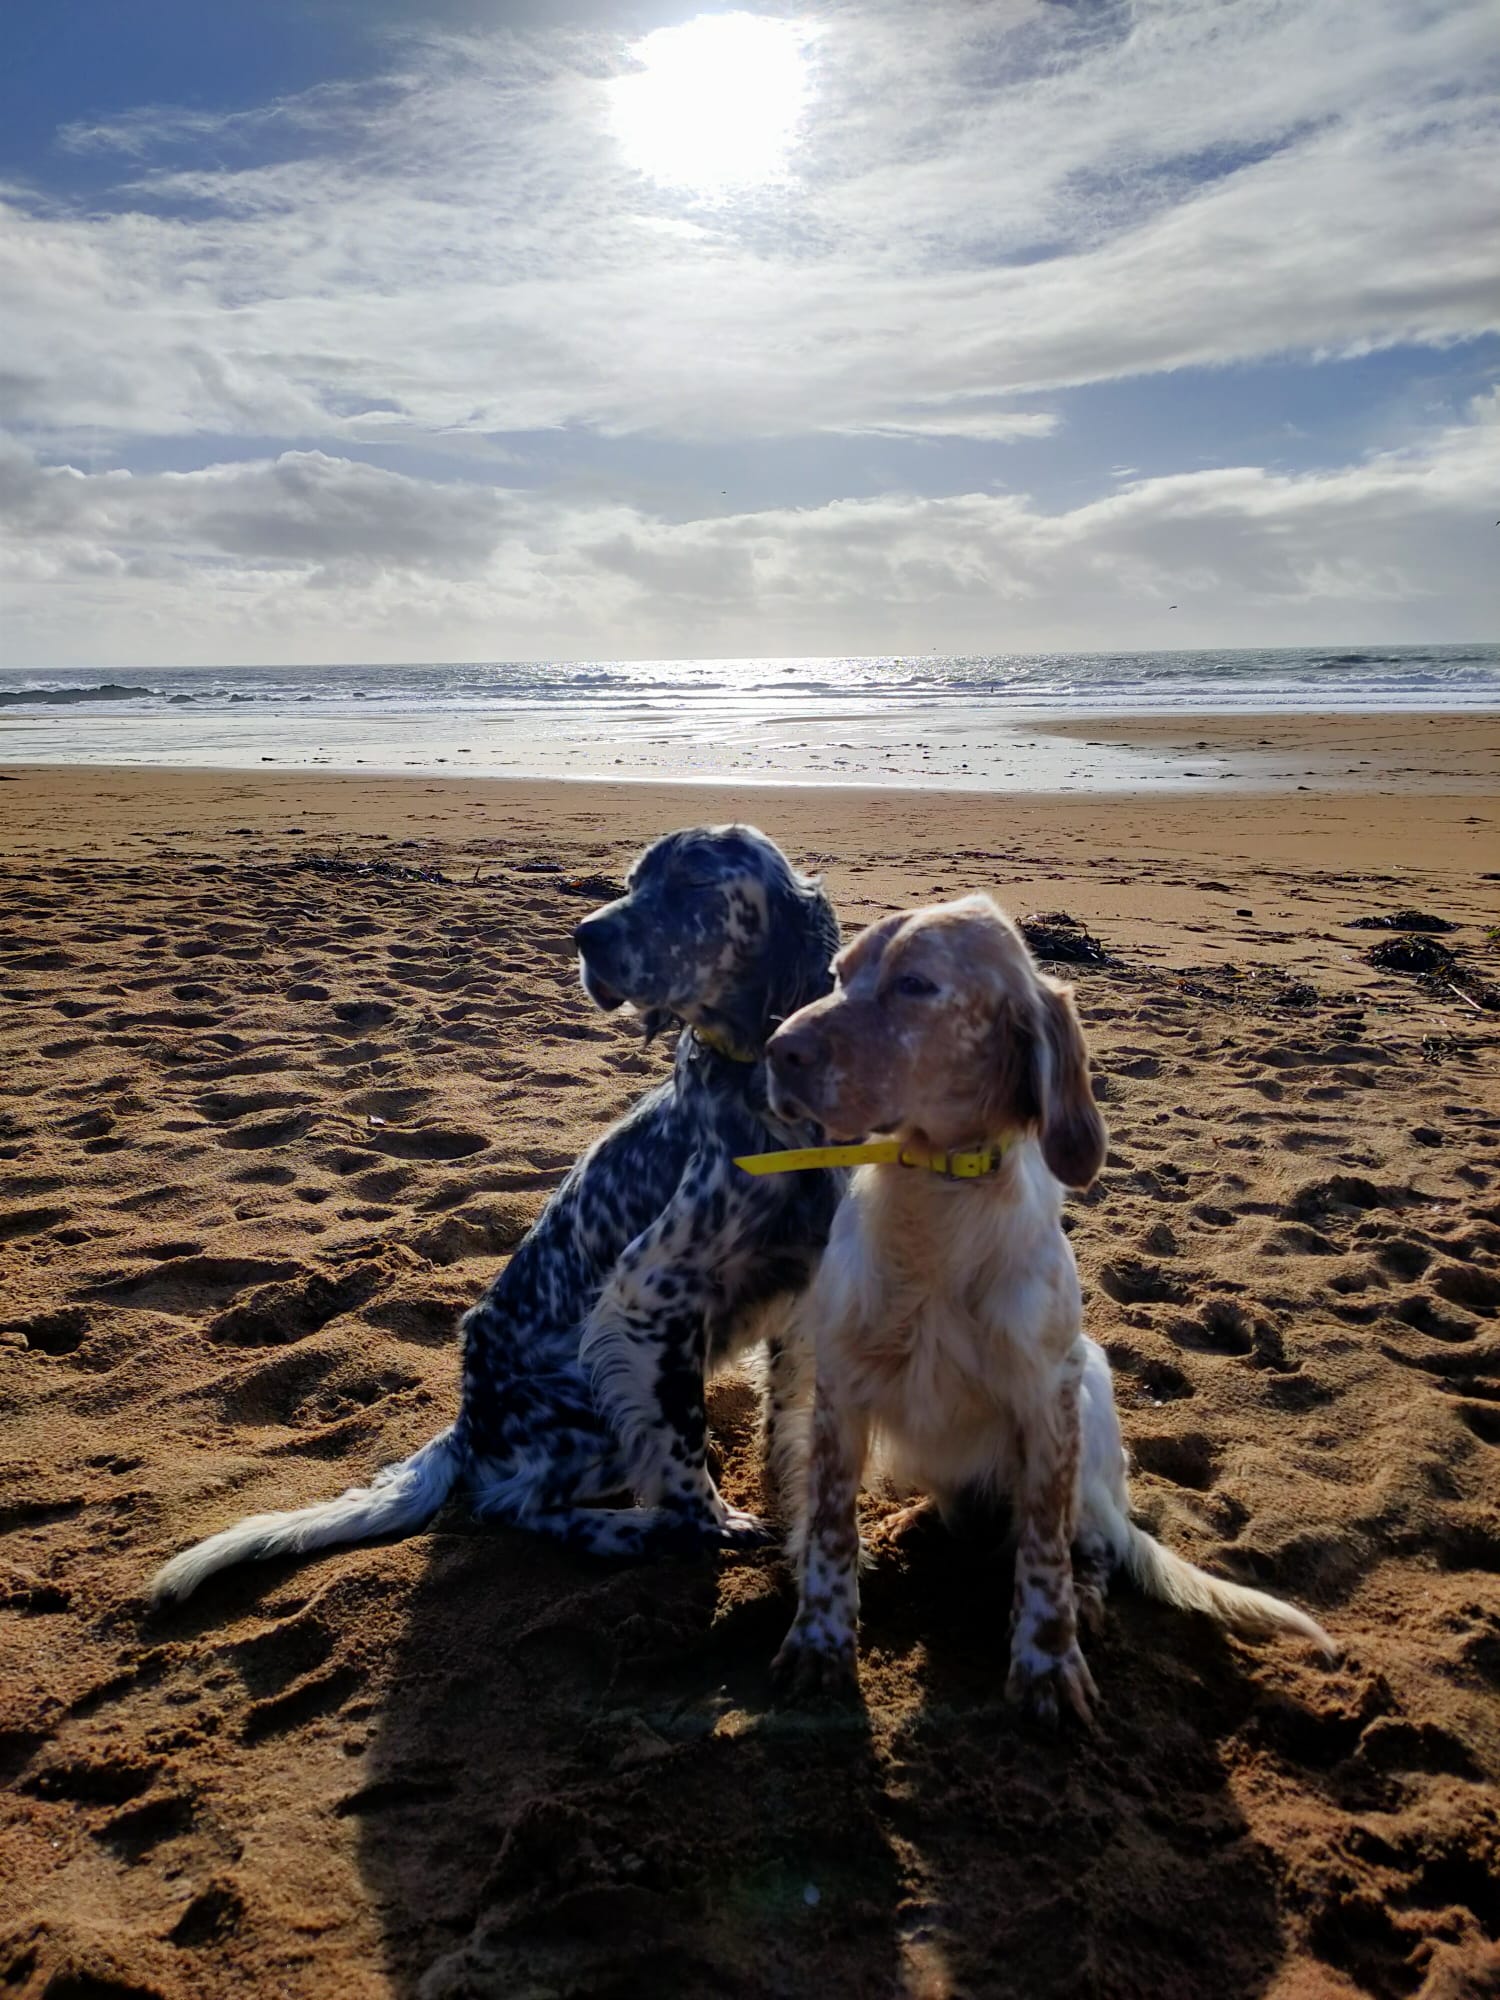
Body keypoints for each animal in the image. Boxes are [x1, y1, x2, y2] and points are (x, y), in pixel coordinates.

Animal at [148, 824, 843, 1605]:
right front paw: (712, 1522)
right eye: (632, 880)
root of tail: (465, 1424)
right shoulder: (649, 1295)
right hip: (583, 1397)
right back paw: (631, 1529)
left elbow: (789, 1414)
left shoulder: (804, 1285)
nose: (584, 934)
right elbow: (683, 1442)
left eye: (695, 880)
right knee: (511, 1502)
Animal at [762, 894, 1334, 1721]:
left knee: (1089, 1540)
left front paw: (1047, 1663)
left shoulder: (1048, 1396)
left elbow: (1043, 1550)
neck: (938, 1201)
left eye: (916, 985)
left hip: (1093, 1395)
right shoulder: (841, 1385)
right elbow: (831, 1530)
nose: (776, 1051)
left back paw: (1086, 1598)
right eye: (839, 973)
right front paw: (820, 1643)